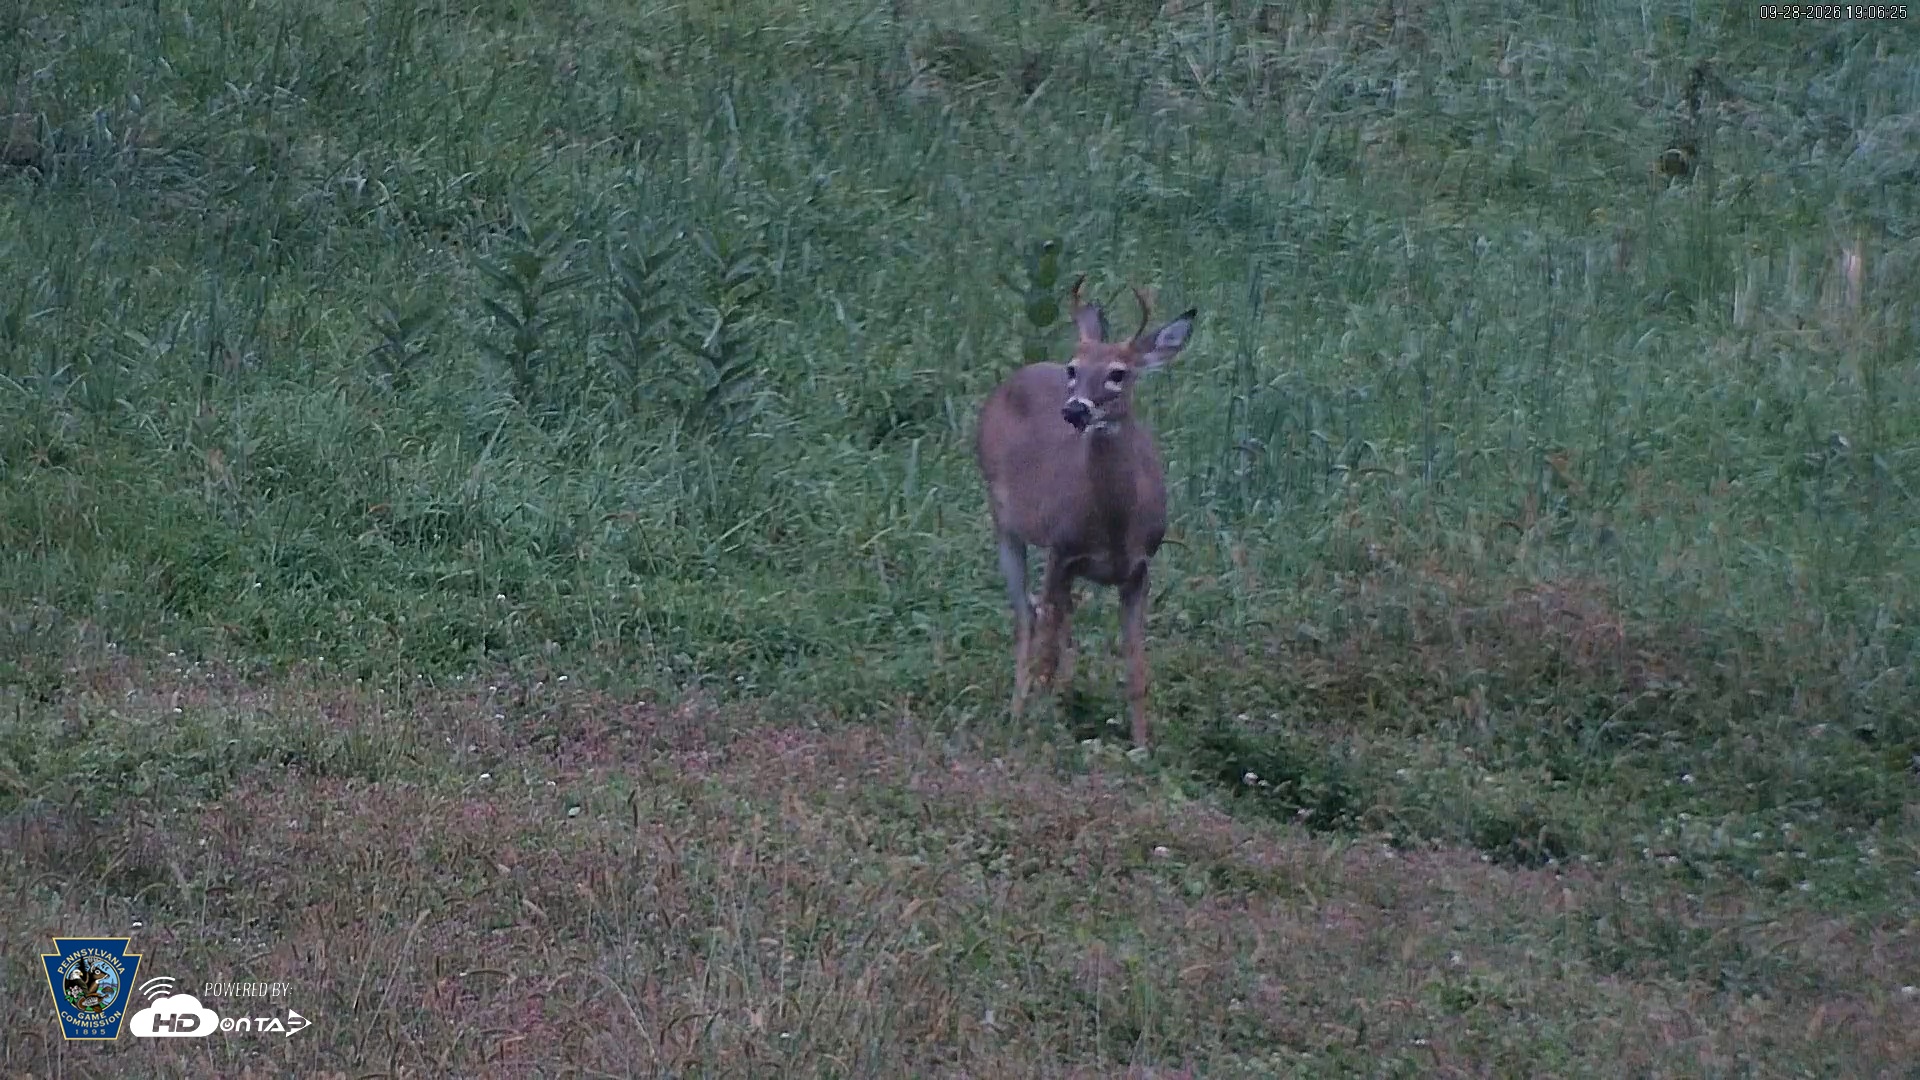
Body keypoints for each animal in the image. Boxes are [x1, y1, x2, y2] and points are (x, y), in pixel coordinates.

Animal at [974, 276, 1197, 750]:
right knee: (1029, 619)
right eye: (1073, 368)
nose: (1074, 409)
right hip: (1005, 523)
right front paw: (1036, 731)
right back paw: (1019, 715)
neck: (1115, 526)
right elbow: (1045, 646)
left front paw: (1142, 745)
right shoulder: (1062, 550)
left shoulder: (1139, 569)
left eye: (1119, 373)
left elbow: (1136, 666)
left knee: (1057, 623)